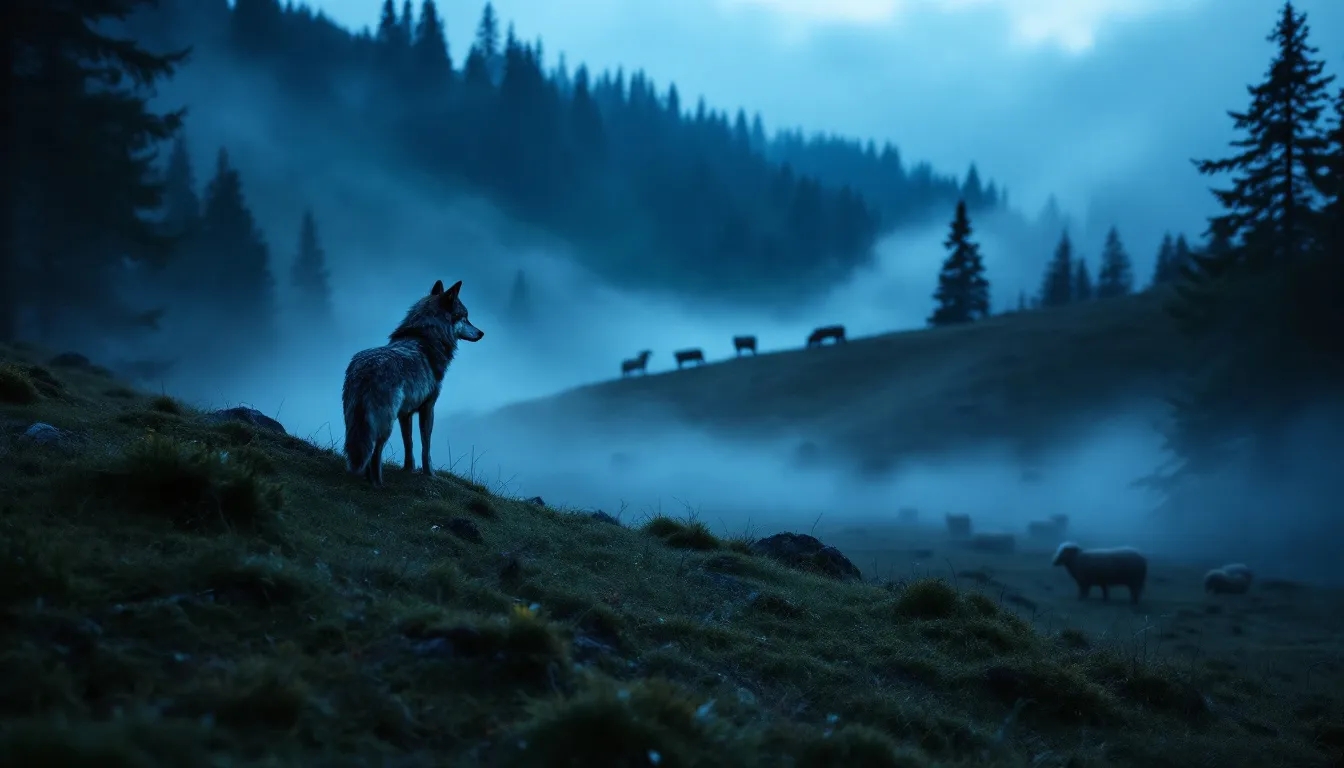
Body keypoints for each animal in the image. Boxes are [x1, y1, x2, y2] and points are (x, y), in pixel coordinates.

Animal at [342, 279, 484, 487]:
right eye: (465, 317)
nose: (482, 333)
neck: (425, 336)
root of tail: (365, 371)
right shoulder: (428, 407)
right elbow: (426, 446)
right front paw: (429, 473)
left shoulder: (406, 413)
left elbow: (408, 442)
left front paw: (409, 469)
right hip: (384, 423)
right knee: (376, 452)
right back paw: (378, 484)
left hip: (354, 421)